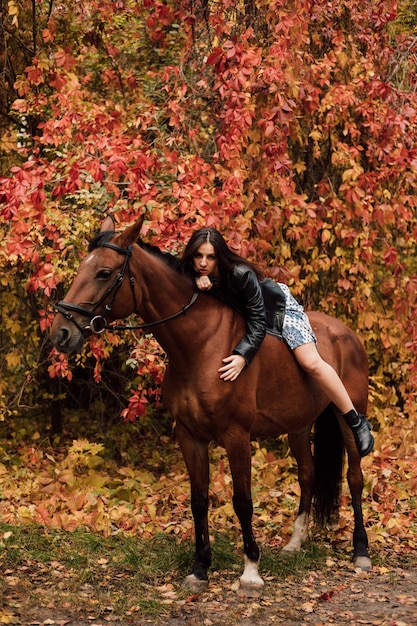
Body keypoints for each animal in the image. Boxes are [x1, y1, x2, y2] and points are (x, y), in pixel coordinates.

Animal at [49, 216, 370, 588]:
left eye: (103, 272)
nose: (62, 333)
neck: (201, 345)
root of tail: (346, 333)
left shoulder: (236, 436)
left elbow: (242, 501)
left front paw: (250, 571)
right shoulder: (190, 436)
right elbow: (199, 500)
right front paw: (200, 567)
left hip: (347, 415)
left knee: (355, 478)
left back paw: (361, 551)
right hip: (299, 426)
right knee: (308, 475)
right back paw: (294, 543)